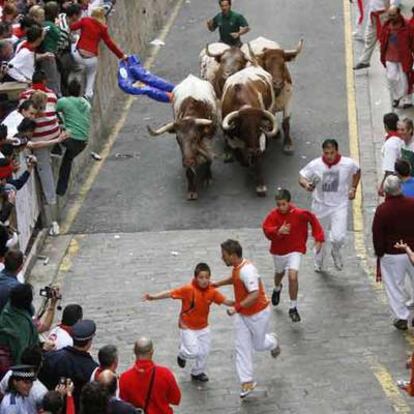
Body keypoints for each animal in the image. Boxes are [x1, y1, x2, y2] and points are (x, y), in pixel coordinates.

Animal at [220, 66, 278, 197]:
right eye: (243, 129)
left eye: (259, 128)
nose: (254, 150)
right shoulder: (232, 141)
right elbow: (241, 158)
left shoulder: (260, 141)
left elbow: (257, 159)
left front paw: (260, 186)